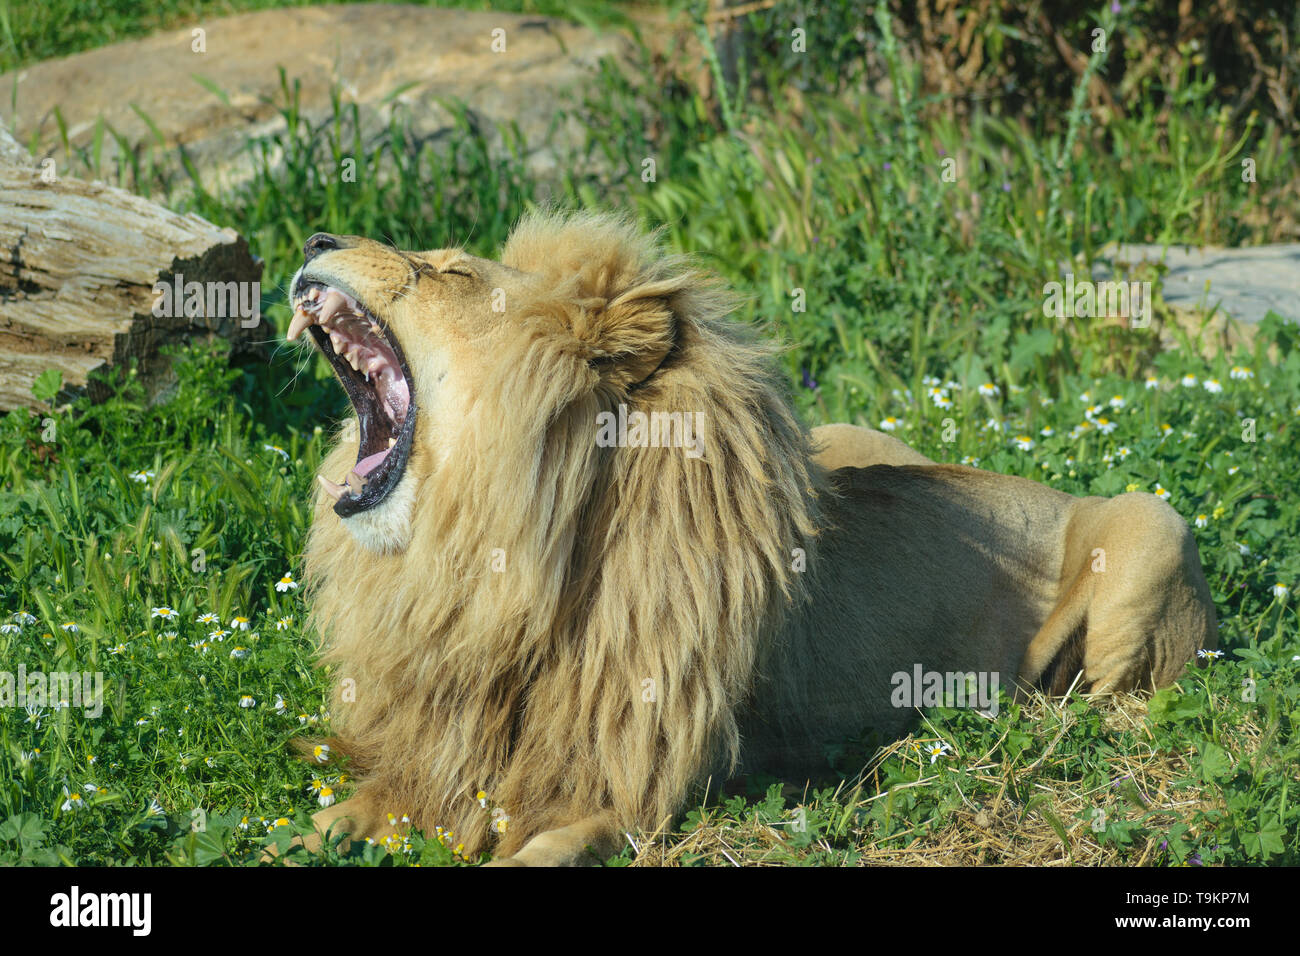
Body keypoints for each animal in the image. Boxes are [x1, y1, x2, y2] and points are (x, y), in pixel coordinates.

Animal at [287, 209, 1216, 868]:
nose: (316, 236)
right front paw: (300, 833)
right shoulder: (443, 746)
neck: (500, 563)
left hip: (1151, 527)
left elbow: (544, 846)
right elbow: (354, 806)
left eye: (449, 271)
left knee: (1113, 705)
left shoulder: (638, 786)